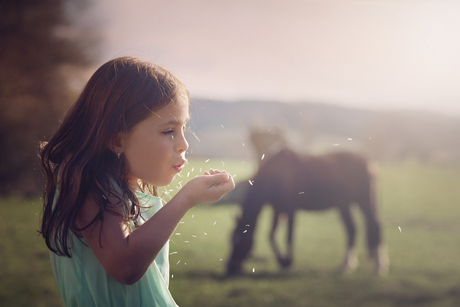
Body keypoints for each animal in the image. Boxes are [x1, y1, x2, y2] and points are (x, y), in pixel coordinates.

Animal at [226, 149, 388, 276]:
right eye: (231, 239)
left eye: (240, 240)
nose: (230, 267)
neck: (277, 174)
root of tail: (369, 163)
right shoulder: (278, 210)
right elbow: (271, 235)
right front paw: (282, 261)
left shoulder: (290, 210)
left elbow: (288, 236)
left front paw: (288, 262)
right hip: (344, 205)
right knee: (352, 230)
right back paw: (346, 264)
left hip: (365, 202)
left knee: (374, 226)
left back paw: (380, 266)